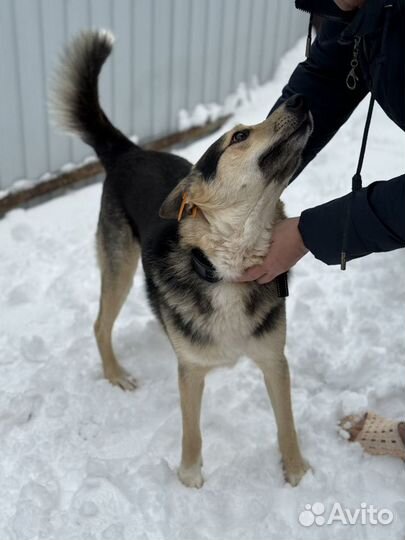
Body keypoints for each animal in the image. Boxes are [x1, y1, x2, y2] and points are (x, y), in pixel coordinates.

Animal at [52, 27, 312, 488]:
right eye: (239, 136)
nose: (300, 99)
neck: (228, 266)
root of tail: (129, 151)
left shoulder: (274, 360)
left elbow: (287, 423)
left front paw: (296, 473)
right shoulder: (190, 372)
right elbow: (192, 431)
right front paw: (189, 478)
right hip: (120, 266)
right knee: (100, 324)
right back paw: (116, 374)